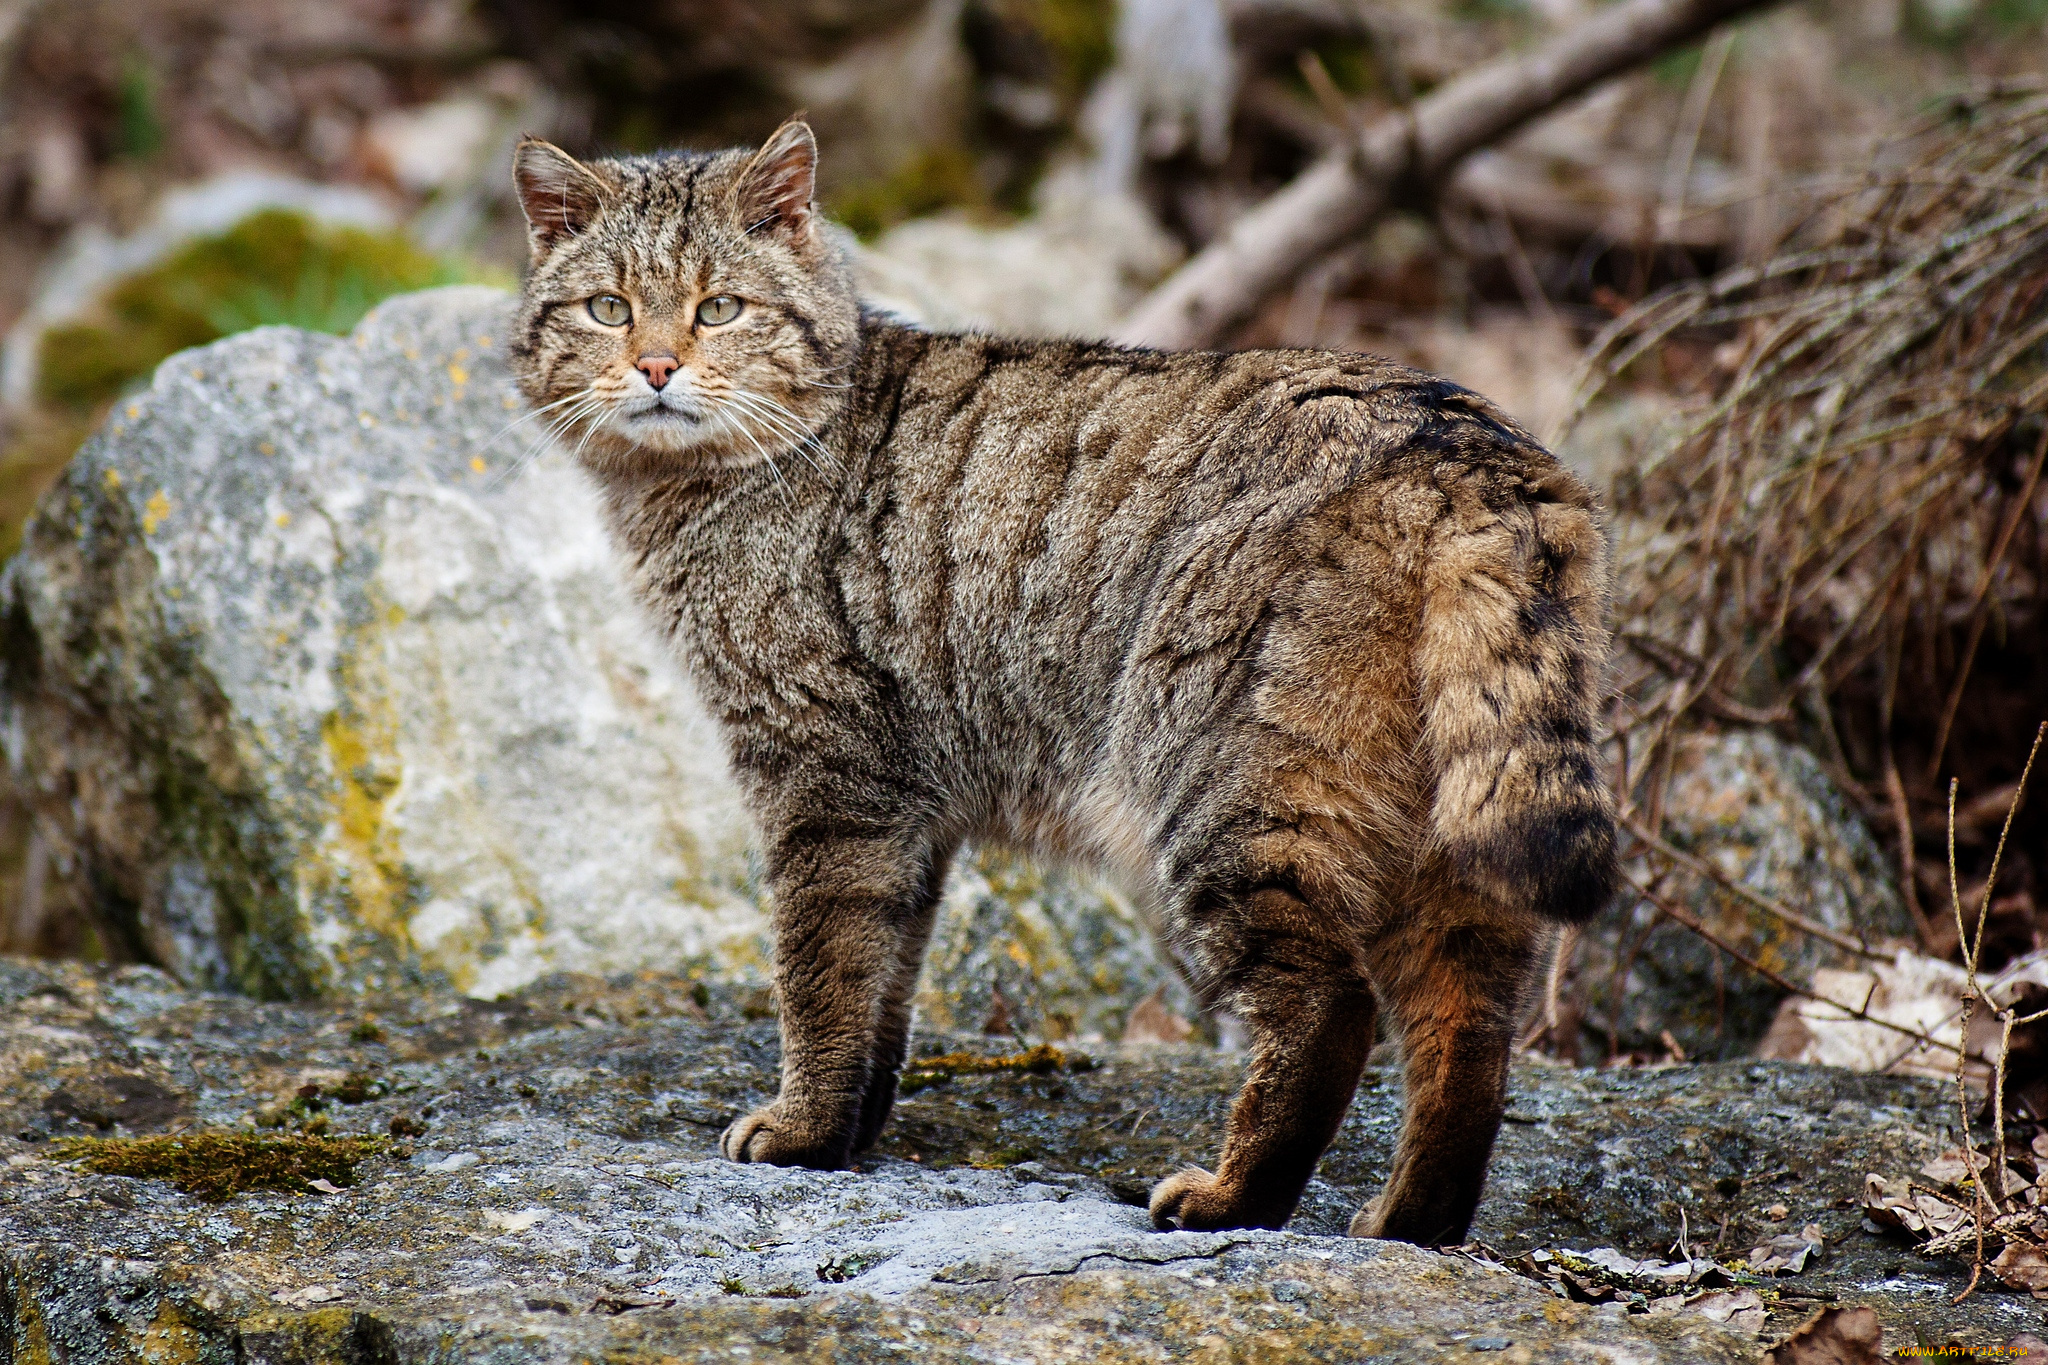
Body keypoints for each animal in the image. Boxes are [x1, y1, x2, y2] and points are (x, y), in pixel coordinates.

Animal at [499, 120, 1613, 1252]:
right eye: (608, 308)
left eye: (718, 306)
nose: (655, 364)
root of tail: (1466, 452)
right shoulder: (912, 807)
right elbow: (887, 977)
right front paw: (853, 1126)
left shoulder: (826, 775)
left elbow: (822, 966)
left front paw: (804, 1129)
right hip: (1447, 839)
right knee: (1469, 1031)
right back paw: (1409, 1222)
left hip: (1225, 793)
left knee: (1329, 1006)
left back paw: (1233, 1198)